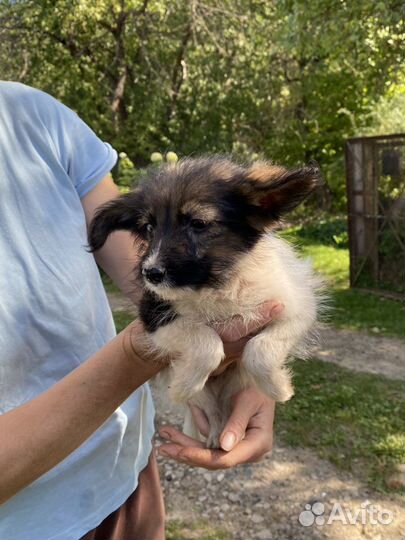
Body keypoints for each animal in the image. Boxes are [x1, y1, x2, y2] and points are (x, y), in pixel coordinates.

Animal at [87, 156, 322, 448]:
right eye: (149, 228)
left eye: (198, 224)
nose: (150, 274)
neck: (212, 284)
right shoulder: (154, 316)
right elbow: (207, 342)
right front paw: (182, 386)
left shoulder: (297, 308)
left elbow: (260, 349)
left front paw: (278, 387)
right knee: (210, 408)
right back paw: (213, 432)